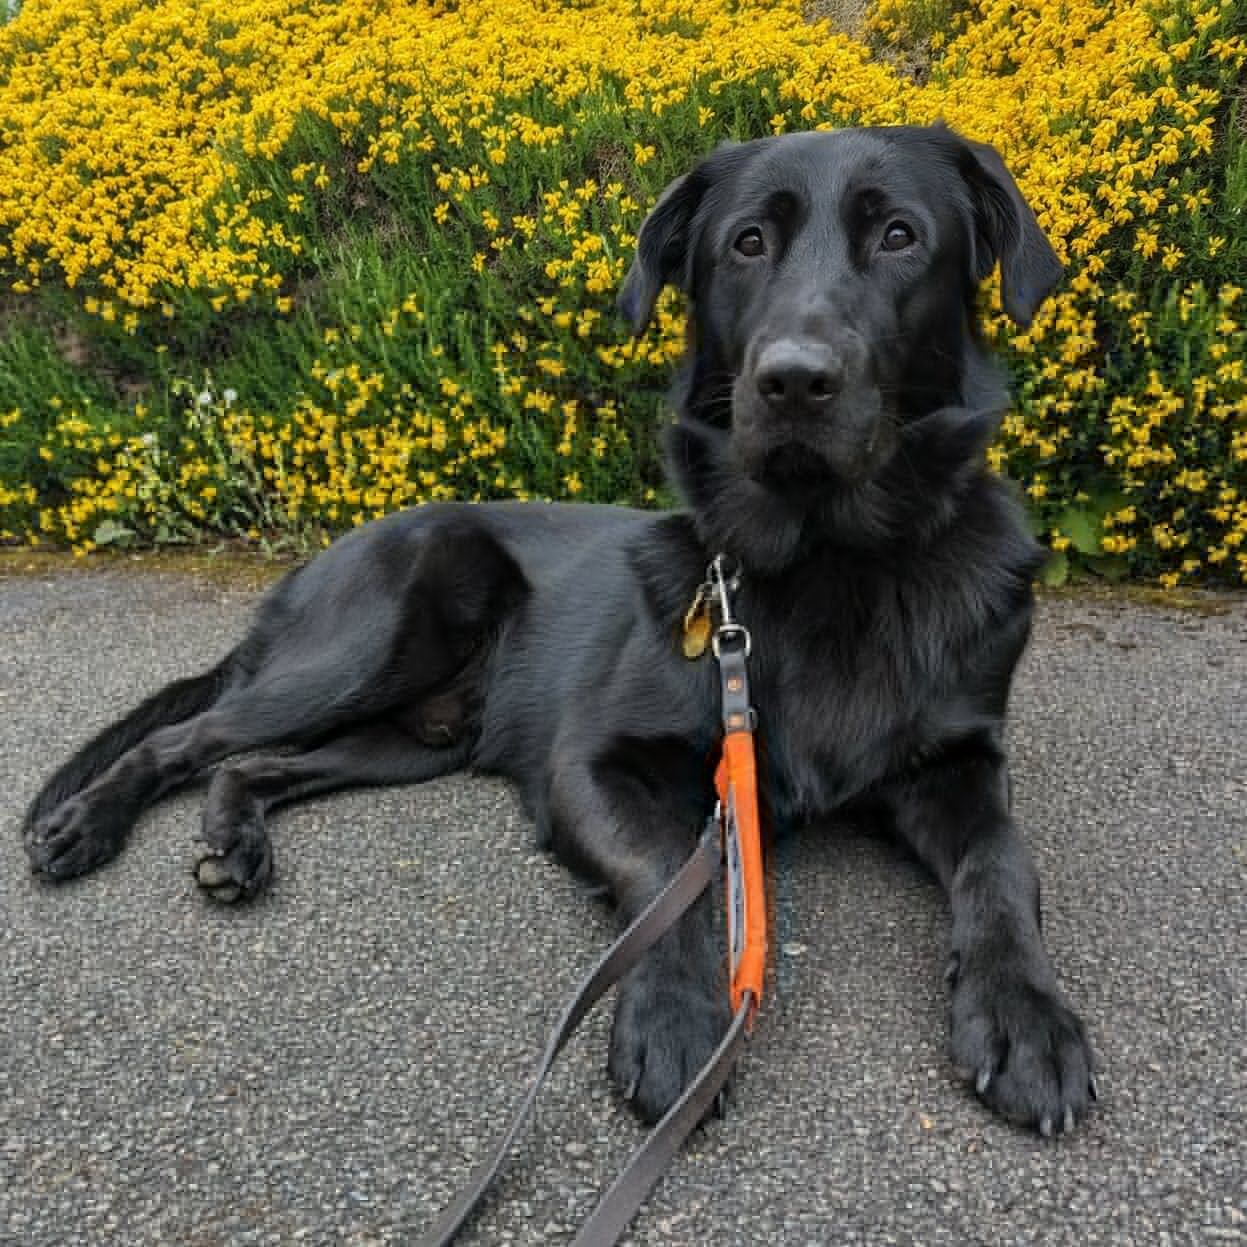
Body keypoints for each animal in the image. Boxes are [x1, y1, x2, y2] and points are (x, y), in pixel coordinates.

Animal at [21, 124, 1092, 1132]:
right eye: (747, 243)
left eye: (899, 236)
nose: (793, 381)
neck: (829, 565)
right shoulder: (590, 763)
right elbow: (664, 874)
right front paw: (675, 1015)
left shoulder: (957, 763)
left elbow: (1004, 863)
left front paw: (1025, 1014)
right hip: (381, 635)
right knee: (188, 735)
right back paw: (85, 824)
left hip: (414, 741)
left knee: (254, 763)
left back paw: (233, 838)